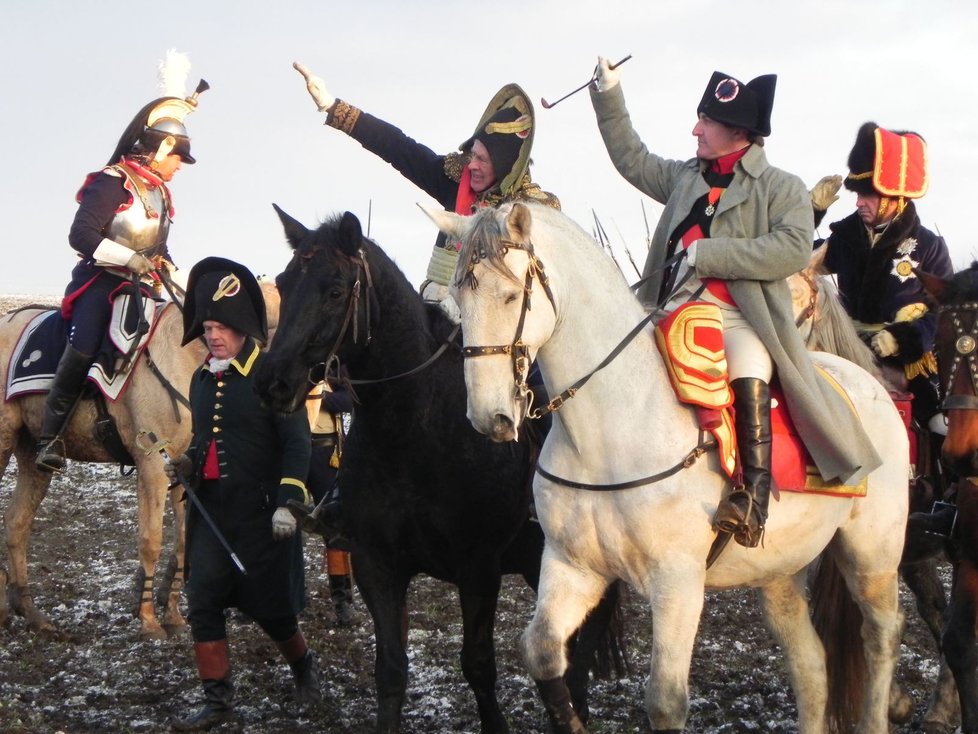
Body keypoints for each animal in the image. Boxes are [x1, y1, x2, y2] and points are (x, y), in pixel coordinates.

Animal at [0, 284, 278, 640]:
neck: (184, 357)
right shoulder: (152, 466)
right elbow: (151, 540)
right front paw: (147, 619)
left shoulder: (184, 469)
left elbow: (183, 541)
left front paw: (173, 615)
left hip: (30, 455)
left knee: (16, 523)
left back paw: (31, 613)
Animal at [430, 203, 912, 734]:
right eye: (458, 299)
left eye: (512, 295)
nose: (488, 417)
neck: (608, 434)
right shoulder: (573, 565)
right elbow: (540, 652)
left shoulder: (678, 583)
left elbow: (665, 701)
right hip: (780, 573)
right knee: (811, 665)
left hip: (872, 556)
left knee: (881, 635)